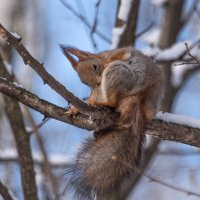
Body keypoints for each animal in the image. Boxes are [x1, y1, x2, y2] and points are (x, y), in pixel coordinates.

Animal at [60, 45, 162, 200]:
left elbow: (121, 54)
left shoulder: (120, 52)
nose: (97, 82)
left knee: (111, 99)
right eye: (84, 82)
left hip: (120, 72)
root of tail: (140, 98)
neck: (101, 57)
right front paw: (74, 109)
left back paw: (96, 102)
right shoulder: (95, 89)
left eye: (94, 66)